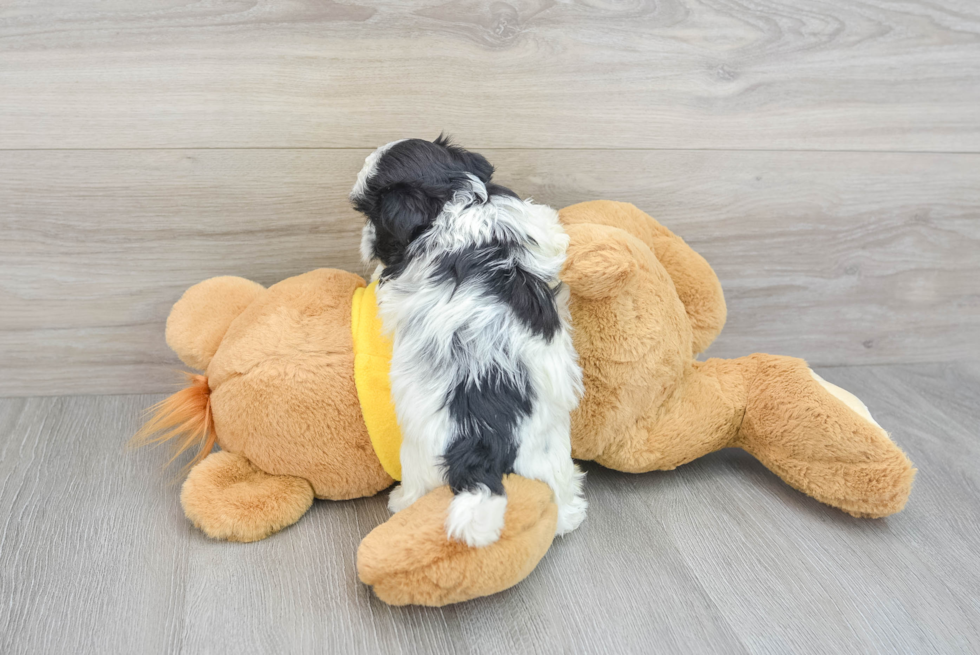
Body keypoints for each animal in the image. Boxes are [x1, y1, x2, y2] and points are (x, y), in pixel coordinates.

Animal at [350, 136, 584, 544]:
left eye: (372, 218)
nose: (366, 240)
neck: (454, 204)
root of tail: (482, 445)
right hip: (545, 455)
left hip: (420, 458)